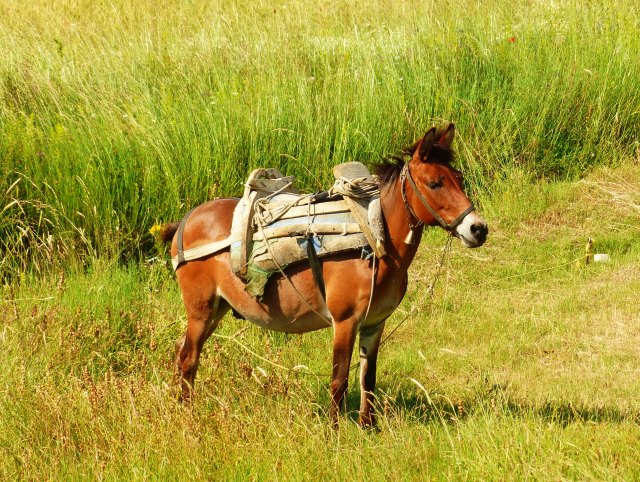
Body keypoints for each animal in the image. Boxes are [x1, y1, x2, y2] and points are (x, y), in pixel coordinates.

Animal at [160, 124, 488, 426]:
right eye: (434, 184)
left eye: (458, 178)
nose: (478, 228)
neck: (375, 238)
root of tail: (185, 221)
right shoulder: (345, 322)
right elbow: (339, 379)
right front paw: (334, 432)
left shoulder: (374, 324)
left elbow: (368, 380)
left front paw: (368, 428)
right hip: (201, 311)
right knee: (188, 358)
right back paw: (186, 416)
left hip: (217, 308)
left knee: (183, 351)